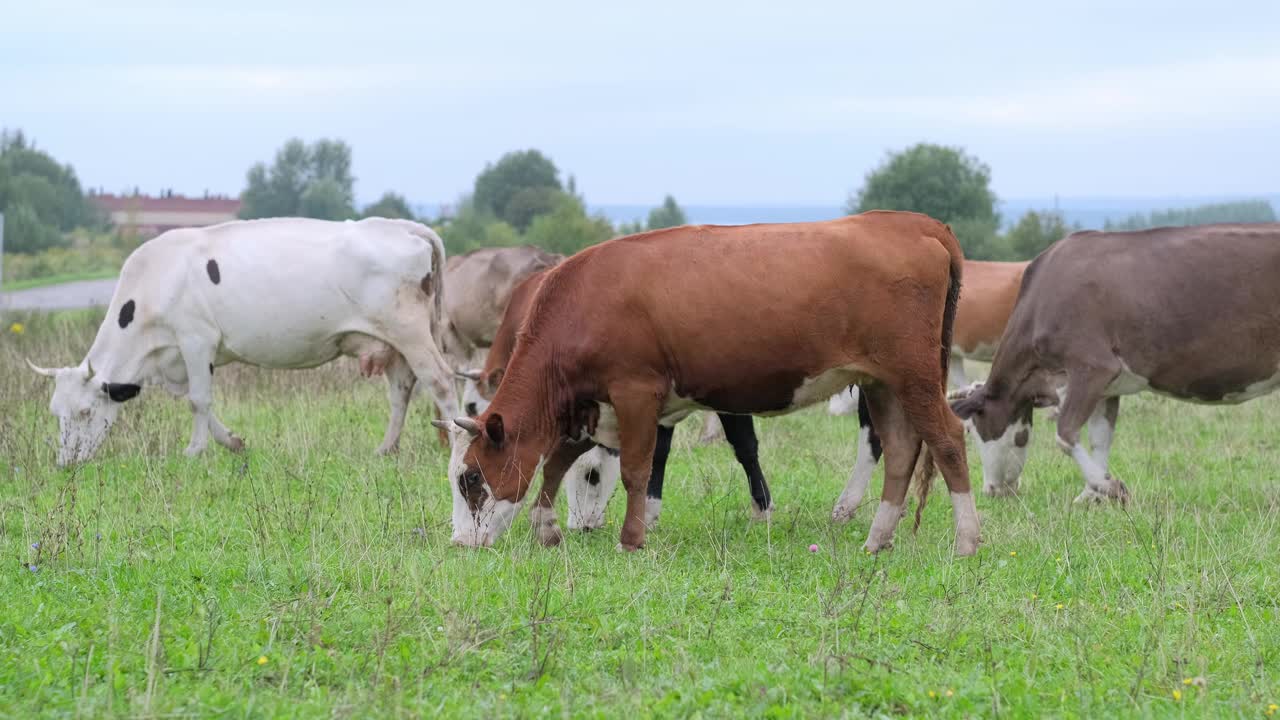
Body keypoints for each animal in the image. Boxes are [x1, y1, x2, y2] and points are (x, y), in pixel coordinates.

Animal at [26, 215, 460, 461]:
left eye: (85, 412)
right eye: (55, 412)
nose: (66, 461)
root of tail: (401, 225)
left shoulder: (195, 338)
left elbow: (199, 401)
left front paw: (195, 450)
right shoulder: (176, 358)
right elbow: (196, 401)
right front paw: (232, 442)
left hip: (410, 331)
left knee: (441, 380)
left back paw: (457, 441)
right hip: (393, 343)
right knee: (401, 391)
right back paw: (386, 448)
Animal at [942, 222, 1280, 499]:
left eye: (975, 430)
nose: (990, 489)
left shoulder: (1092, 365)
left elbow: (1065, 434)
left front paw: (1110, 487)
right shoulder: (1107, 387)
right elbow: (1100, 439)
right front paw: (1091, 495)